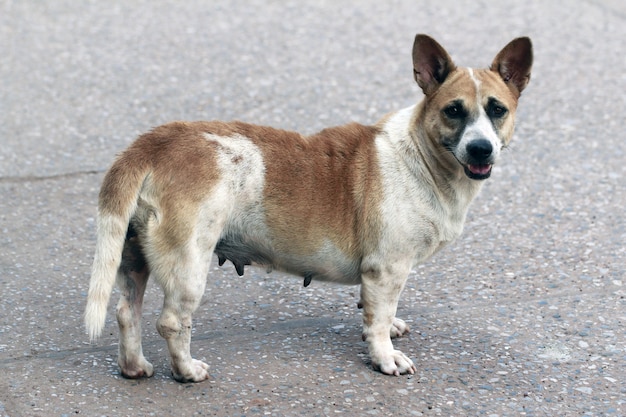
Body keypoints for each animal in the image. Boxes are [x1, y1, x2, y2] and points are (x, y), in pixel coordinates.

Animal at [84, 34, 532, 382]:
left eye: (497, 110)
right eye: (454, 111)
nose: (481, 148)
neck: (421, 156)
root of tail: (156, 141)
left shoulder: (385, 277)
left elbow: (379, 313)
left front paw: (388, 329)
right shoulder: (387, 269)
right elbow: (378, 320)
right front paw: (384, 357)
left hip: (133, 257)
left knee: (126, 312)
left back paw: (134, 367)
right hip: (189, 263)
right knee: (172, 322)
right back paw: (187, 371)